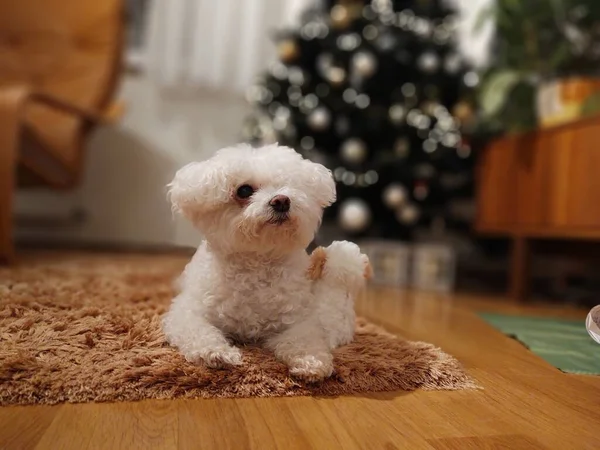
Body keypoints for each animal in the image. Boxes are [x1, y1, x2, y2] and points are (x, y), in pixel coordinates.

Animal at [164, 142, 370, 382]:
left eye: (289, 185)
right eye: (244, 190)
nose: (281, 201)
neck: (257, 262)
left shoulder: (297, 321)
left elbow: (305, 340)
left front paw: (311, 362)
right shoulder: (187, 312)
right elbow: (198, 331)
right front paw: (216, 352)